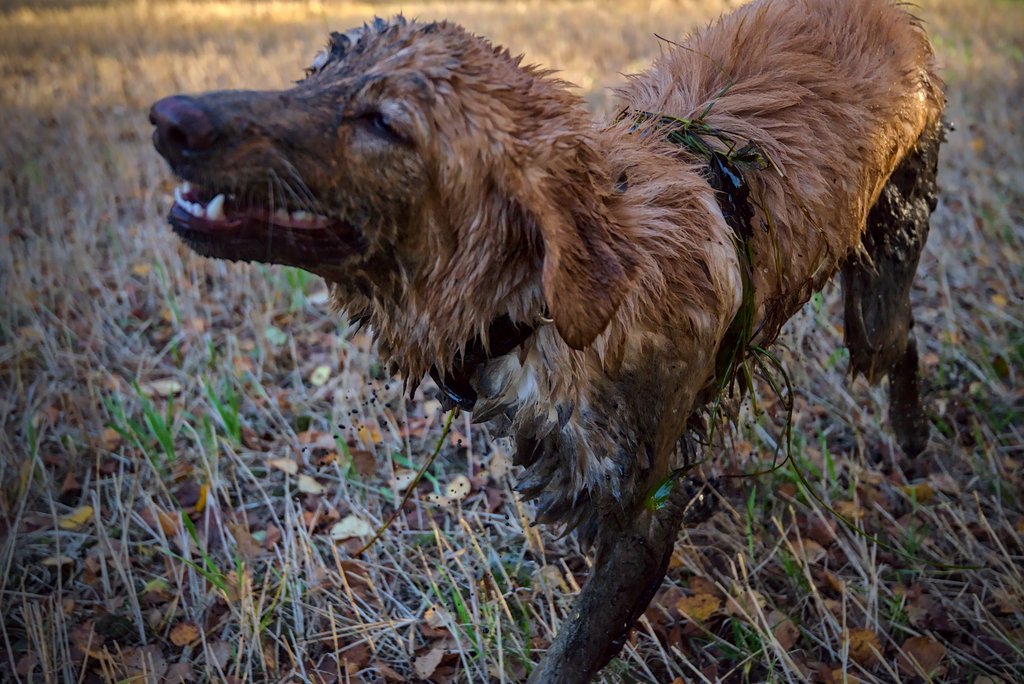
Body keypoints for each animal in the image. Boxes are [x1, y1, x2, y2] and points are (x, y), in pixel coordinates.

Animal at [149, 1, 942, 679]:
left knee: (902, 338)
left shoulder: (641, 517)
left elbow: (569, 655)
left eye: (383, 124)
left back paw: (912, 436)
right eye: (316, 72)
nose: (168, 120)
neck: (538, 308)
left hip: (876, 291)